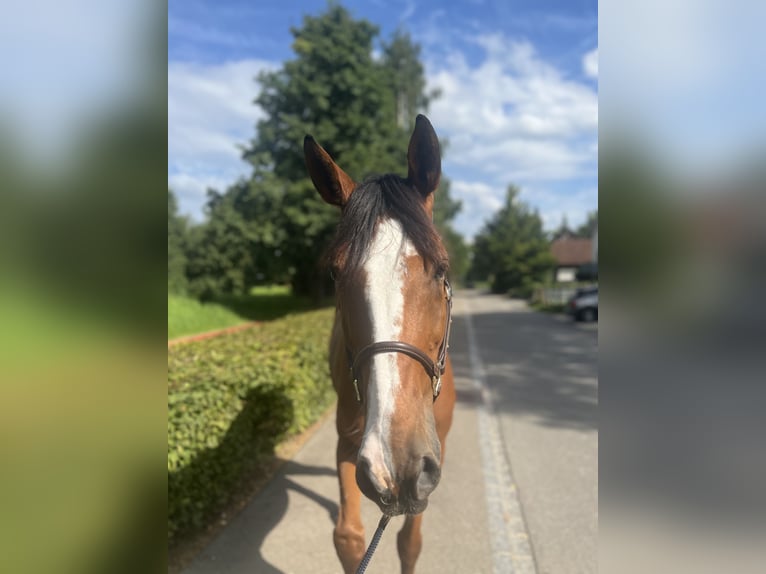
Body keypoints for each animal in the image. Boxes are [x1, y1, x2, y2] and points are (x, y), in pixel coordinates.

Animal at [304, 115, 456, 572]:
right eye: (335, 275)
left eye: (442, 268)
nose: (397, 466)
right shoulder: (349, 443)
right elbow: (349, 537)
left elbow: (409, 541)